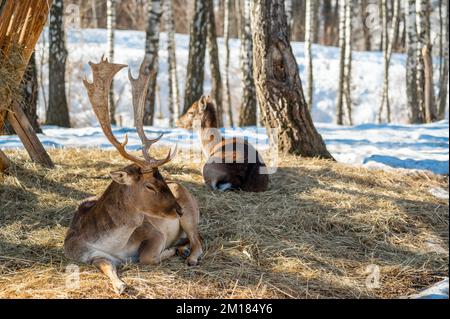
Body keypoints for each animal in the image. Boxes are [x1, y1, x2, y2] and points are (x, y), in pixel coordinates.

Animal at [63, 57, 202, 296]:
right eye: (150, 185)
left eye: (162, 178)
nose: (178, 210)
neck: (115, 245)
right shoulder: (86, 253)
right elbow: (106, 265)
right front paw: (120, 285)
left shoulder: (154, 232)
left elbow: (146, 257)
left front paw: (169, 252)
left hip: (191, 213)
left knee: (198, 240)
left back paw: (188, 255)